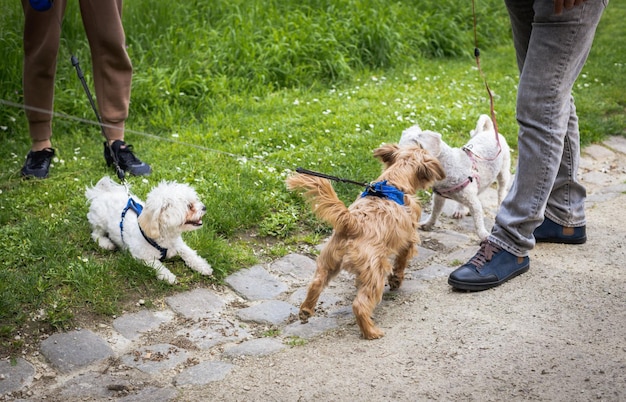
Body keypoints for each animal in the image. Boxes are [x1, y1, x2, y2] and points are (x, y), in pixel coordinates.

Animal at [288, 144, 444, 340]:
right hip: (376, 271)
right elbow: (401, 263)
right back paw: (371, 331)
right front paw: (396, 280)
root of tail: (352, 223)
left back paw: (306, 310)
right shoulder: (408, 239)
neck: (394, 182)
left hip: (329, 261)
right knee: (360, 305)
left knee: (317, 282)